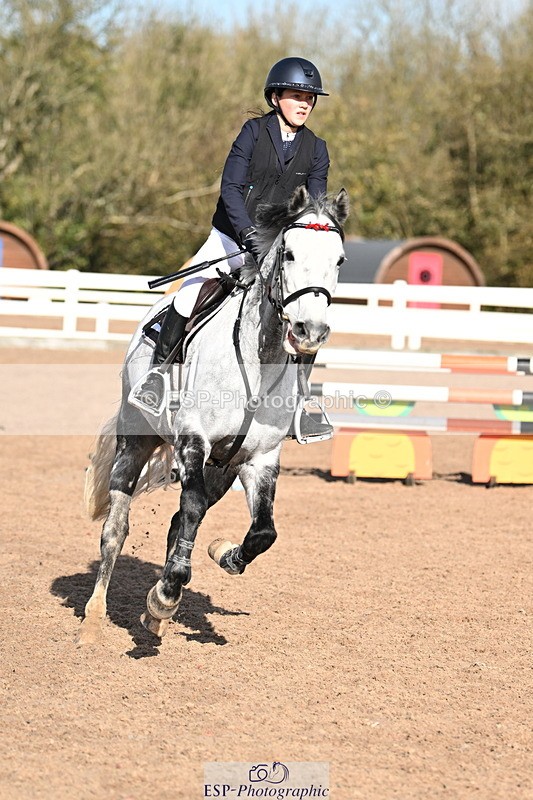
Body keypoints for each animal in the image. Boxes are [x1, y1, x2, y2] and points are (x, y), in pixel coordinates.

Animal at [78, 185, 349, 643]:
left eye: (340, 260)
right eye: (290, 254)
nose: (309, 332)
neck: (260, 361)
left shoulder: (259, 460)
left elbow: (262, 532)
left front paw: (222, 556)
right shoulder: (194, 440)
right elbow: (189, 508)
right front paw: (167, 594)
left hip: (223, 467)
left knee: (183, 518)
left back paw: (156, 611)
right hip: (136, 440)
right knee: (116, 529)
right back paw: (95, 620)